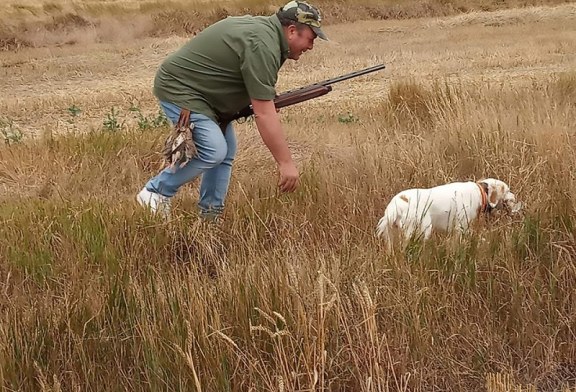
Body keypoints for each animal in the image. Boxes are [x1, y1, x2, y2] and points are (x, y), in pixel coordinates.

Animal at [376, 178, 524, 248]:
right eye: (508, 190)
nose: (514, 196)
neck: (479, 193)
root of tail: (395, 206)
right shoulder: (461, 228)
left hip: (392, 235)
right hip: (422, 230)